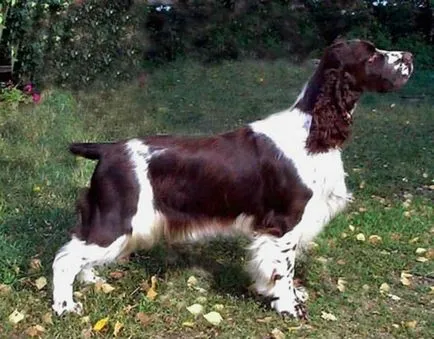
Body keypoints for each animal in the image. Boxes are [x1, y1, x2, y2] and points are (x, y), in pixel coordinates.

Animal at [51, 39, 414, 318]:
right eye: (371, 55)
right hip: (119, 218)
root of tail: (107, 149)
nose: (410, 57)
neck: (312, 131)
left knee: (79, 250)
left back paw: (91, 280)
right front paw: (289, 307)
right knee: (65, 258)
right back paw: (65, 306)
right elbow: (284, 269)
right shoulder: (285, 223)